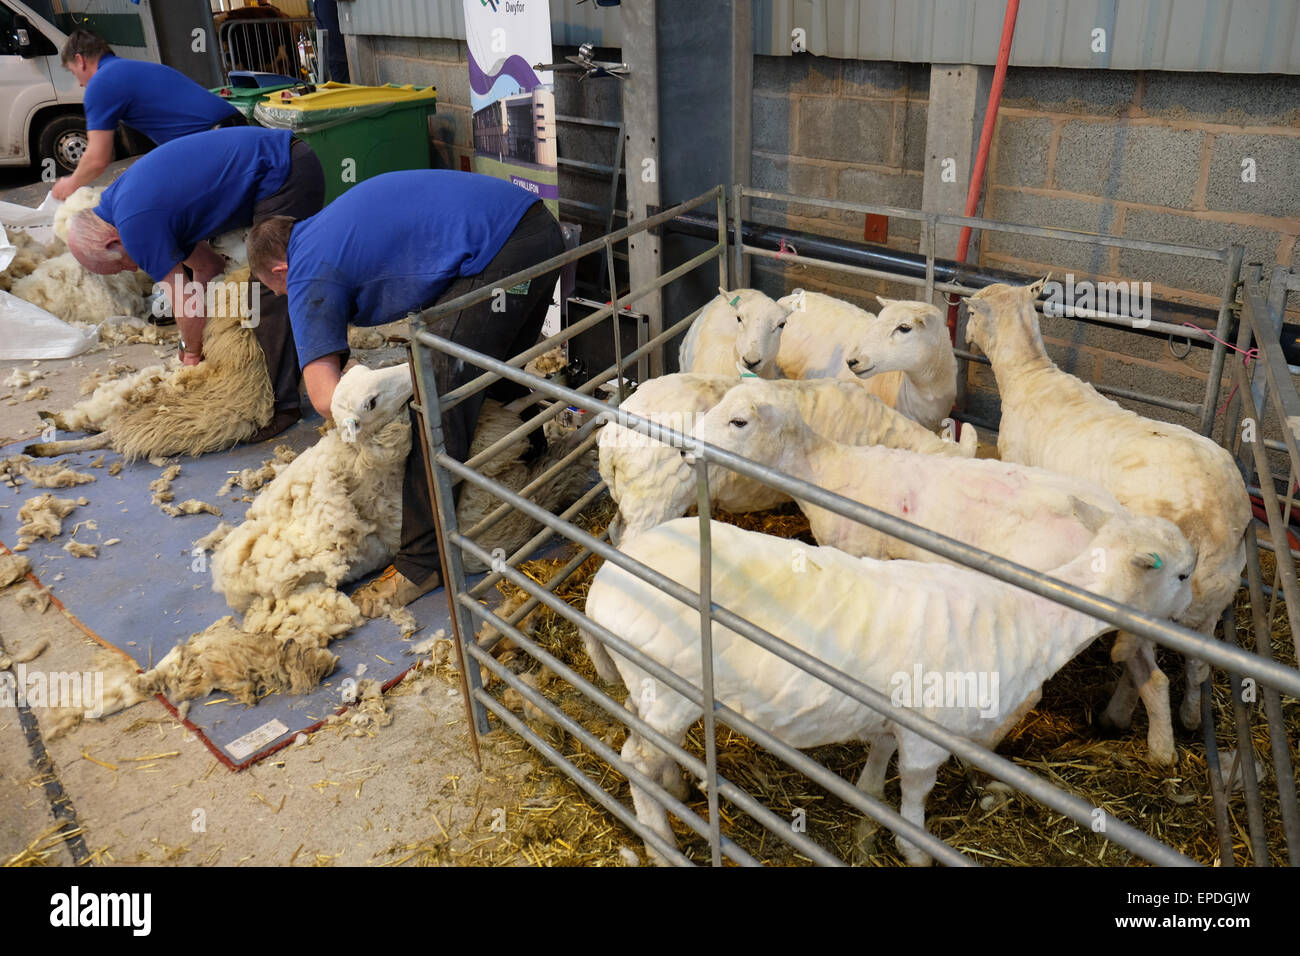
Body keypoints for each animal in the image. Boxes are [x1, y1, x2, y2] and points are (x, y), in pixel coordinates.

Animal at [585, 515, 1190, 868]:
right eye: (1182, 574)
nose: (1190, 612)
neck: (1034, 618)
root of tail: (601, 587)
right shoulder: (929, 735)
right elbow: (916, 793)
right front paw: (913, 848)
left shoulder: (892, 717)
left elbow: (875, 777)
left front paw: (867, 827)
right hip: (670, 688)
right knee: (635, 760)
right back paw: (659, 841)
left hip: (649, 685)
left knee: (641, 733)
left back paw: (677, 789)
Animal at [972, 280, 1253, 764]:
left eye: (970, 312)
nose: (968, 335)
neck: (1028, 376)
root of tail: (1217, 518)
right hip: (1214, 596)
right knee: (1197, 666)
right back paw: (1189, 718)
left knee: (1150, 673)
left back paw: (1132, 728)